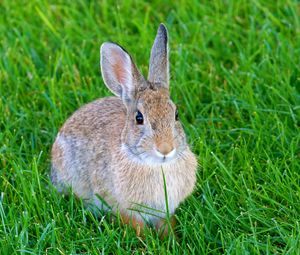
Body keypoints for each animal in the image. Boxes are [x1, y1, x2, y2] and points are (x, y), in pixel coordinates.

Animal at [50, 23, 198, 237]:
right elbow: (136, 227)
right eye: (139, 118)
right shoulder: (125, 208)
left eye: (176, 114)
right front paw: (146, 241)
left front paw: (172, 239)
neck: (155, 165)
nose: (165, 149)